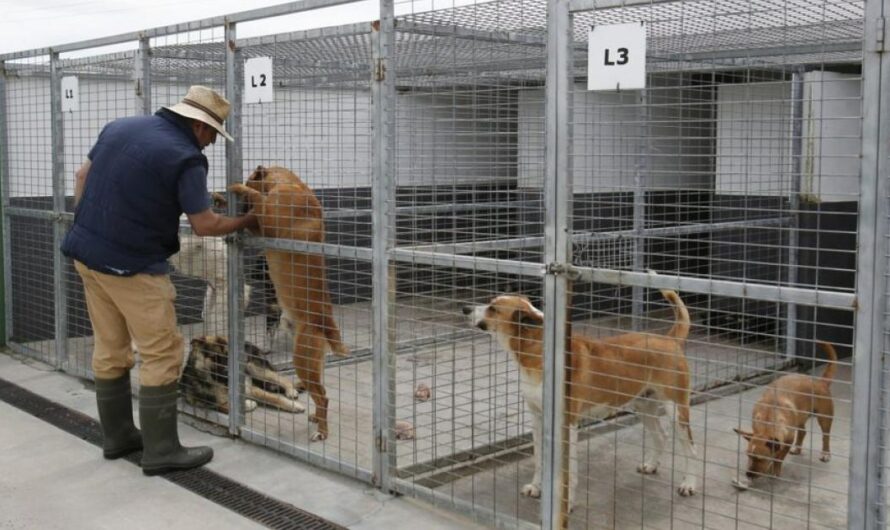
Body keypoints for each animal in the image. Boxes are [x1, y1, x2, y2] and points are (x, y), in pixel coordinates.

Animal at [462, 272, 696, 508]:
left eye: (493, 308)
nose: (465, 309)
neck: (539, 350)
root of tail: (669, 338)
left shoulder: (568, 424)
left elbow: (569, 471)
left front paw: (566, 504)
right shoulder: (537, 418)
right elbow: (539, 460)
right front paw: (536, 487)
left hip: (677, 409)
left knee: (690, 448)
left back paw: (689, 483)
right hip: (644, 404)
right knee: (661, 436)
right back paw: (652, 464)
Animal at [732, 338, 836, 486]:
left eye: (761, 459)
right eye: (748, 456)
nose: (748, 474)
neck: (768, 421)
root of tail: (820, 382)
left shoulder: (787, 440)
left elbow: (779, 457)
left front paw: (775, 470)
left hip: (824, 417)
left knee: (825, 436)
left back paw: (825, 453)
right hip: (799, 417)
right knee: (803, 432)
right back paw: (797, 448)